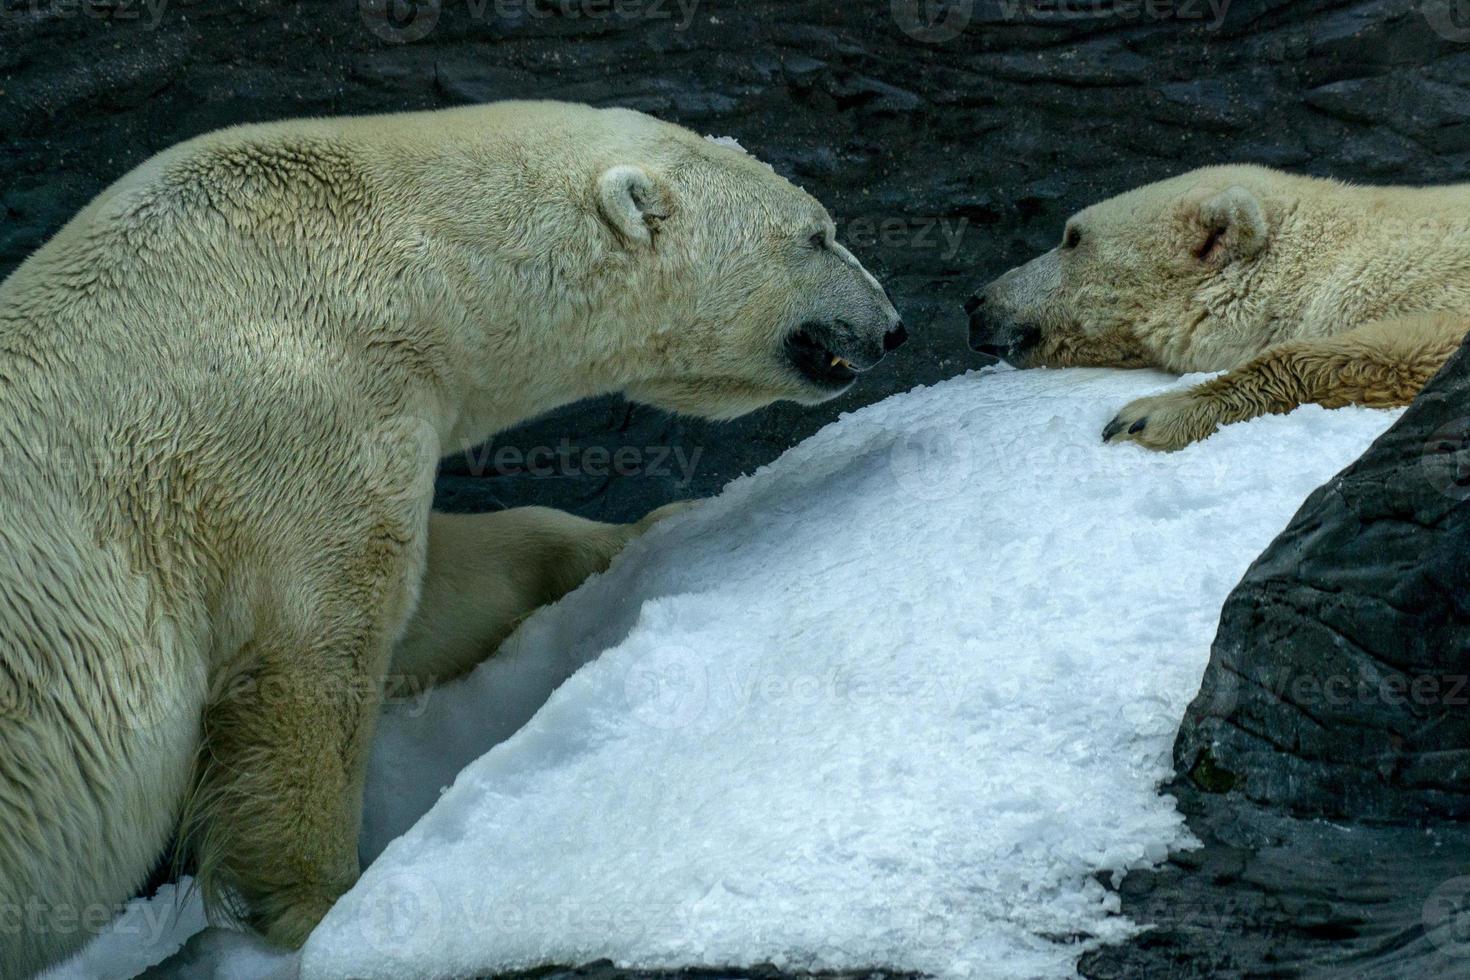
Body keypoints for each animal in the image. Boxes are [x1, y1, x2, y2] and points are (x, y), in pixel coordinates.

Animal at [0, 99, 905, 975]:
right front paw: (327, 909)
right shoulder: (299, 426)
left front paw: (653, 528)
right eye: (819, 233)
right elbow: (315, 660)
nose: (894, 326)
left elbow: (444, 590)